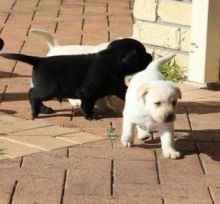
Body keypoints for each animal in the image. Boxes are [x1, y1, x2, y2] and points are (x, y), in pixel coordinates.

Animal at [0, 38, 151, 119]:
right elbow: (87, 105)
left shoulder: (118, 86)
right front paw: (91, 116)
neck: (111, 61)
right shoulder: (88, 92)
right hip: (49, 89)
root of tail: (39, 60)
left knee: (36, 96)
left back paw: (44, 109)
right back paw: (36, 112)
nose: (150, 56)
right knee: (32, 94)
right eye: (142, 54)